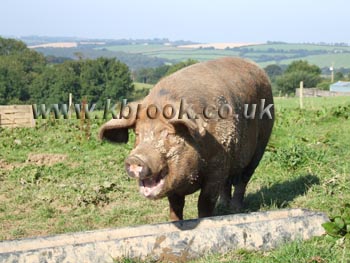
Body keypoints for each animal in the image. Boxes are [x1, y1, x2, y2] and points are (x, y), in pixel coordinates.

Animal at [98, 57, 274, 221]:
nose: (135, 158)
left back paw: (235, 208)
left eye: (169, 133)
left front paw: (204, 219)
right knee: (228, 183)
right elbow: (175, 205)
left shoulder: (217, 167)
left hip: (261, 144)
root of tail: (256, 67)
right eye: (137, 134)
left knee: (243, 179)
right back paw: (223, 206)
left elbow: (204, 202)